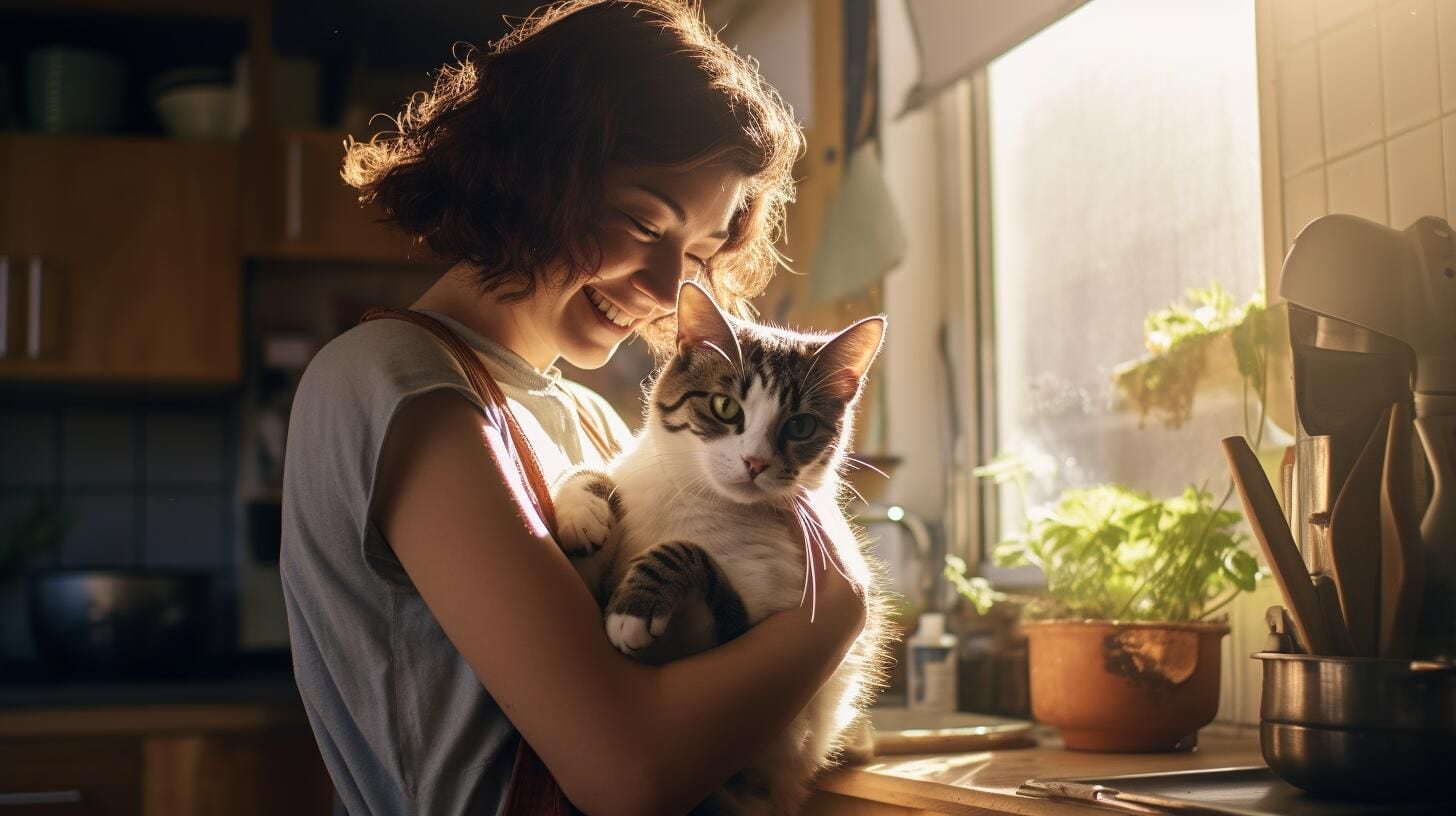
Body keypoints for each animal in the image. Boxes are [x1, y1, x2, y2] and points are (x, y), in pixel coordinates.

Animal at [553, 282, 885, 816]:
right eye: (726, 407)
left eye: (800, 426)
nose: (755, 461)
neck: (698, 496)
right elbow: (601, 473)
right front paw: (583, 510)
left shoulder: (752, 627)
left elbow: (688, 553)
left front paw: (634, 609)